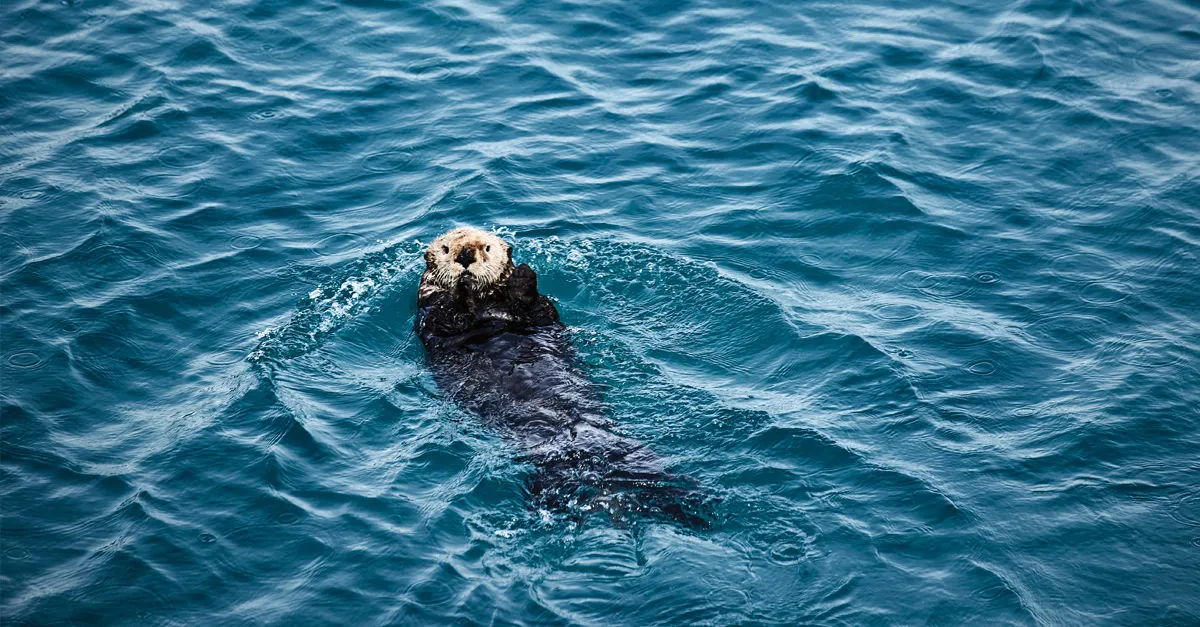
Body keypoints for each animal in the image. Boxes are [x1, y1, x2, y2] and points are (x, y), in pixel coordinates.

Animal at [415, 227, 712, 528]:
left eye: (486, 248)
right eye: (446, 249)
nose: (465, 258)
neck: (485, 304)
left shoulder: (539, 312)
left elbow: (536, 308)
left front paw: (522, 274)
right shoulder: (430, 311)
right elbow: (446, 318)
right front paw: (462, 288)